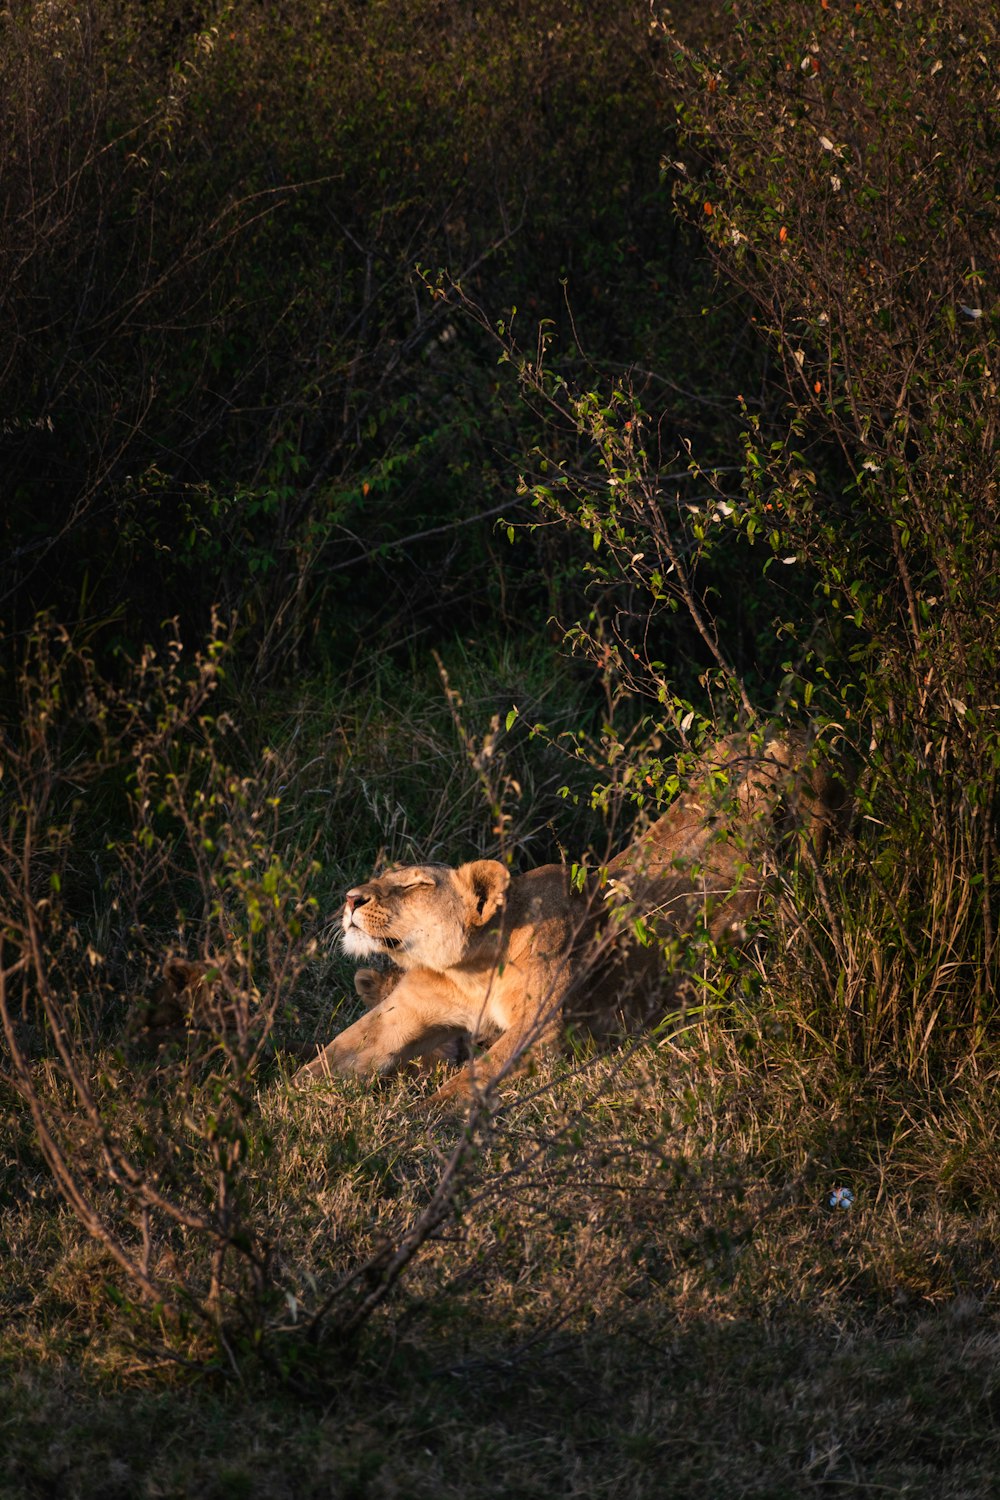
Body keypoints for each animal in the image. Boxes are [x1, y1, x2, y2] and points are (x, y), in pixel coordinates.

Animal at [296, 735, 845, 1104]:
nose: (349, 899)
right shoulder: (405, 1011)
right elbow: (334, 1057)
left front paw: (425, 1124)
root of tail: (789, 729)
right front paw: (283, 1109)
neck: (468, 970)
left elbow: (466, 1084)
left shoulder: (540, 1030)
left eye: (413, 885)